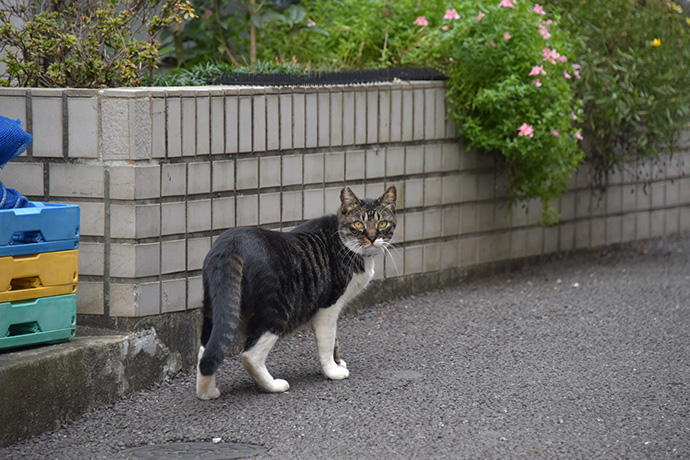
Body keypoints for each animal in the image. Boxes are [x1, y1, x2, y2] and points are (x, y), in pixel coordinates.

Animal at [196, 185, 396, 400]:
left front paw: (338, 362)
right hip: (276, 310)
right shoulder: (329, 306)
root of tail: (231, 243)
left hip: (215, 304)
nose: (372, 237)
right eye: (358, 224)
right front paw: (333, 371)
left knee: (206, 350)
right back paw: (274, 385)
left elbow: (335, 338)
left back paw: (207, 393)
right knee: (250, 355)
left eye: (382, 223)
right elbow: (328, 340)